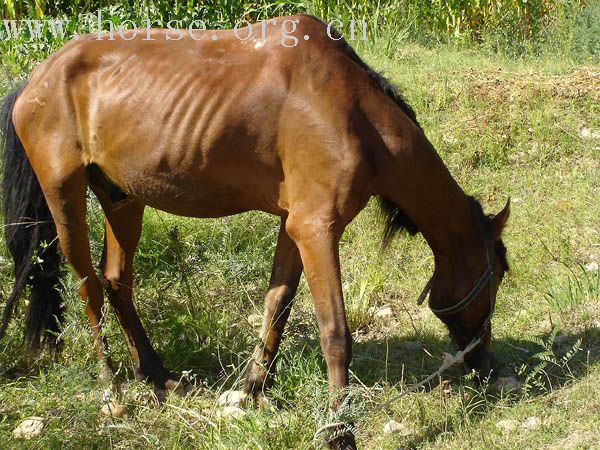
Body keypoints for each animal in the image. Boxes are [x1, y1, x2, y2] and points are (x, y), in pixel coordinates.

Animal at [0, 14, 508, 450]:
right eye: (500, 273)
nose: (486, 366)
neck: (353, 112)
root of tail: (35, 79)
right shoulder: (316, 229)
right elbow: (335, 334)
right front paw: (339, 430)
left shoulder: (294, 224)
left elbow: (276, 305)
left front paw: (250, 389)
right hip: (65, 198)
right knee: (88, 288)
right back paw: (112, 389)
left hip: (122, 199)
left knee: (116, 281)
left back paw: (157, 374)